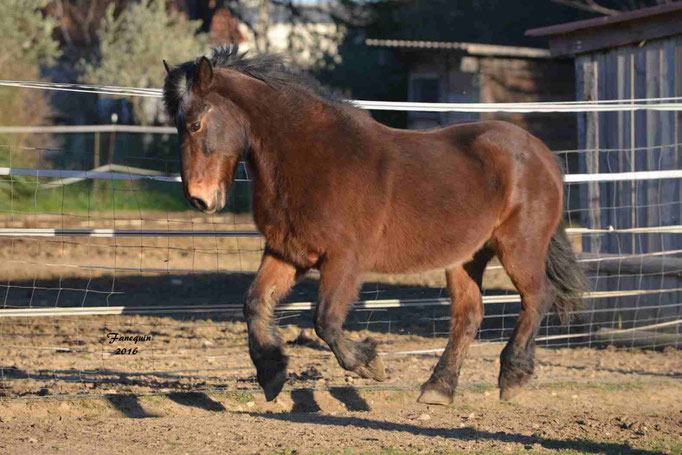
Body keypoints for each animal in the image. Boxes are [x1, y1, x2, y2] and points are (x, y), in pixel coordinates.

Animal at [162, 47, 580, 406]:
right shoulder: (286, 253)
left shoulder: (345, 260)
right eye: (177, 126)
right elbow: (254, 303)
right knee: (468, 316)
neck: (312, 157)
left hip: (518, 247)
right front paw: (271, 374)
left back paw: (513, 376)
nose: (198, 199)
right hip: (466, 257)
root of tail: (544, 155)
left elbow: (325, 321)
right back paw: (438, 388)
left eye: (195, 124)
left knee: (537, 297)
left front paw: (369, 364)